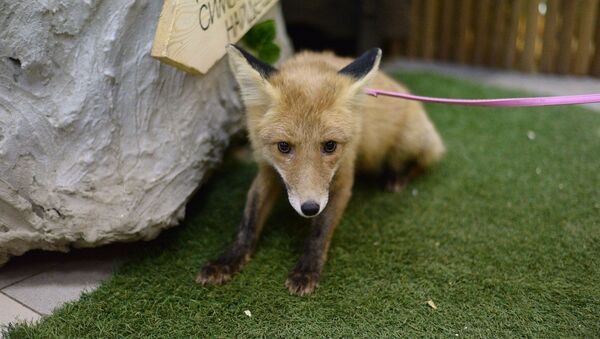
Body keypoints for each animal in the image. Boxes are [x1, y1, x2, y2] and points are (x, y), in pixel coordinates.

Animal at [195, 44, 442, 294]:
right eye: (283, 147)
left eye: (330, 145)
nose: (310, 208)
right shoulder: (268, 171)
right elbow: (248, 222)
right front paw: (227, 260)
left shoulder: (342, 178)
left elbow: (320, 232)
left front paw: (307, 270)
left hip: (407, 143)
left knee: (424, 160)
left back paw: (397, 177)